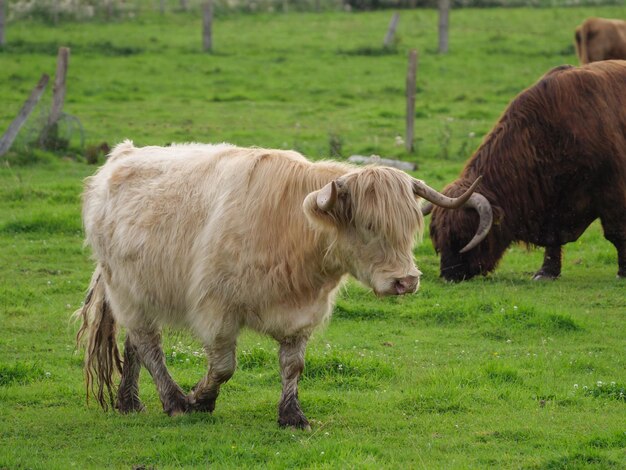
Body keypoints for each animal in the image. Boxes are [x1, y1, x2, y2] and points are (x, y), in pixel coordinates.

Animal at [77, 140, 478, 430]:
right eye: (367, 225)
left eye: (411, 226)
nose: (405, 281)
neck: (290, 230)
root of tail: (122, 155)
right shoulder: (216, 310)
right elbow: (223, 367)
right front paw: (199, 401)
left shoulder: (302, 315)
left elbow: (292, 366)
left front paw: (291, 415)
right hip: (126, 289)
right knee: (148, 344)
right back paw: (172, 401)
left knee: (134, 344)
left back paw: (129, 402)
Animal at [424, 60, 624, 280]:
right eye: (437, 237)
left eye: (461, 236)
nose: (448, 275)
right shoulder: (555, 204)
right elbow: (553, 242)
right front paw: (547, 271)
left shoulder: (612, 190)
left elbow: (616, 231)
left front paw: (623, 271)